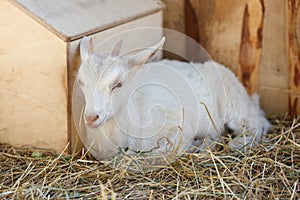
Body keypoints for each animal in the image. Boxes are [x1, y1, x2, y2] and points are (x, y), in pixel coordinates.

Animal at [76, 36, 270, 160]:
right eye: (81, 82)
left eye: (118, 84)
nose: (91, 117)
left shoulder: (178, 127)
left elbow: (161, 153)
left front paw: (198, 144)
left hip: (234, 103)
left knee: (257, 124)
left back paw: (235, 144)